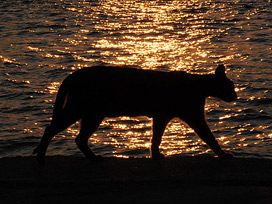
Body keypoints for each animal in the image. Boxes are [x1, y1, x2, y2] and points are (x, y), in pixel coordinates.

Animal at [33, 63, 236, 164]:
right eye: (231, 87)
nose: (235, 95)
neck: (199, 86)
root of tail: (72, 75)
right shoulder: (194, 117)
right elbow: (210, 137)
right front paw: (223, 154)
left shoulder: (161, 117)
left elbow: (156, 138)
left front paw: (155, 155)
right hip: (81, 110)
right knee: (51, 128)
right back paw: (41, 156)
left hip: (92, 114)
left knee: (79, 138)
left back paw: (93, 158)